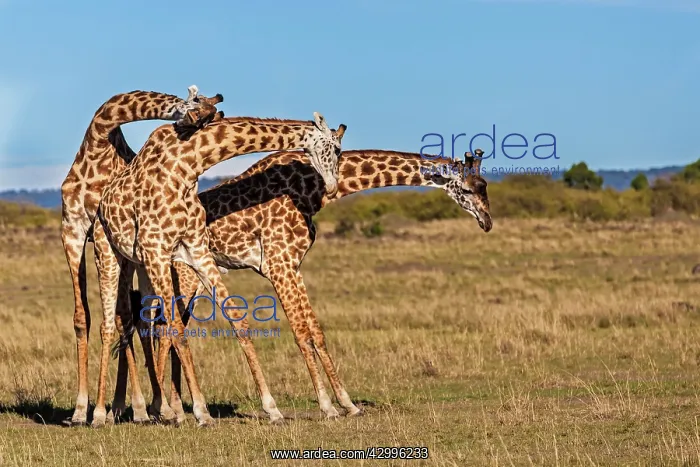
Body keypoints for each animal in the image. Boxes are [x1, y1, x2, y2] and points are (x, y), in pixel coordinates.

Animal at [60, 85, 224, 427]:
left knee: (145, 320)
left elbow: (125, 318)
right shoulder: (72, 229)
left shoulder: (107, 238)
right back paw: (122, 407)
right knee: (135, 319)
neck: (98, 139)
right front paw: (81, 410)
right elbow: (82, 317)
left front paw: (136, 407)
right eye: (198, 113)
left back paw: (149, 408)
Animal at [90, 112, 347, 427]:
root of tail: (101, 204)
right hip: (110, 254)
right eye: (337, 150)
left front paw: (272, 408)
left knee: (143, 322)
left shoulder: (195, 248)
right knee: (108, 325)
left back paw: (155, 407)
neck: (188, 164)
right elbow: (177, 328)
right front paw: (201, 411)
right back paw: (101, 413)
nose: (332, 188)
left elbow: (237, 320)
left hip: (139, 265)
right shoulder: (156, 248)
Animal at [119, 148, 491, 422]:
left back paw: (164, 407)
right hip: (183, 274)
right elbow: (300, 333)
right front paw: (327, 406)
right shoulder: (278, 263)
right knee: (161, 327)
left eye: (485, 184)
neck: (315, 187)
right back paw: (161, 409)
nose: (487, 221)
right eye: (468, 188)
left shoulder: (293, 265)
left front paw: (347, 403)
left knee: (159, 327)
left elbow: (316, 331)